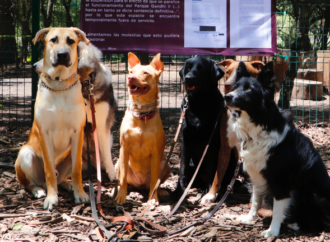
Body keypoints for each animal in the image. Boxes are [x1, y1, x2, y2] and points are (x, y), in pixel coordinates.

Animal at [15, 27, 89, 210]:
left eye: (71, 41)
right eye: (53, 40)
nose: (62, 54)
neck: (60, 84)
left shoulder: (78, 133)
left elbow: (76, 170)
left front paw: (80, 193)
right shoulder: (45, 134)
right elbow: (49, 171)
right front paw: (51, 198)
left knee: (62, 177)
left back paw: (68, 185)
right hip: (25, 154)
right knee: (29, 183)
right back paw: (38, 191)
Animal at [114, 53, 169, 206]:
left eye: (145, 73)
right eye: (131, 72)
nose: (130, 78)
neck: (141, 114)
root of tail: (139, 184)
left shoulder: (156, 152)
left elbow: (155, 180)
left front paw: (153, 198)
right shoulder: (124, 149)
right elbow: (123, 177)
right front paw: (121, 196)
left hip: (165, 163)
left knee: (155, 182)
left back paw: (160, 191)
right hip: (117, 163)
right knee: (124, 179)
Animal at [173, 56, 229, 202]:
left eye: (201, 69)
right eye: (188, 67)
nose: (188, 78)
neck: (200, 102)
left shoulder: (212, 142)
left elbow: (211, 167)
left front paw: (208, 189)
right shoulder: (185, 141)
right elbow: (183, 169)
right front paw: (179, 190)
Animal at [226, 61, 330, 237]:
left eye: (249, 89)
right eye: (236, 87)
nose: (227, 96)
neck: (260, 125)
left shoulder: (281, 180)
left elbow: (277, 209)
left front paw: (272, 231)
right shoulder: (257, 174)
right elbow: (255, 200)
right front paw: (249, 218)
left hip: (311, 193)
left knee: (321, 221)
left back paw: (297, 225)